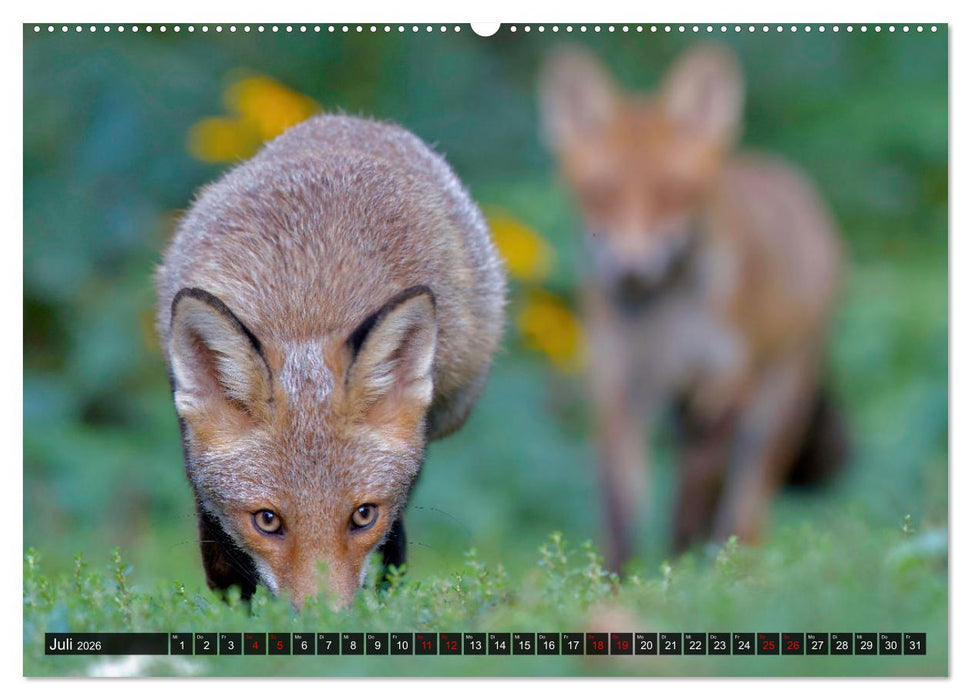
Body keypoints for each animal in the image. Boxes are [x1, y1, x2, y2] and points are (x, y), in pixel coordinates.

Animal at [156, 114, 505, 609]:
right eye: (267, 520)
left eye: (363, 516)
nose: (326, 620)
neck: (304, 308)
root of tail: (352, 119)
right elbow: (216, 536)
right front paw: (236, 608)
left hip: (452, 405)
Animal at [539, 44, 846, 571]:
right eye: (601, 193)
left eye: (672, 193)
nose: (632, 269)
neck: (665, 326)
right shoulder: (618, 385)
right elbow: (620, 506)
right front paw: (613, 577)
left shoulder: (726, 381)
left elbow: (693, 488)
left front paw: (678, 568)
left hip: (775, 406)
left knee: (747, 505)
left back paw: (735, 566)